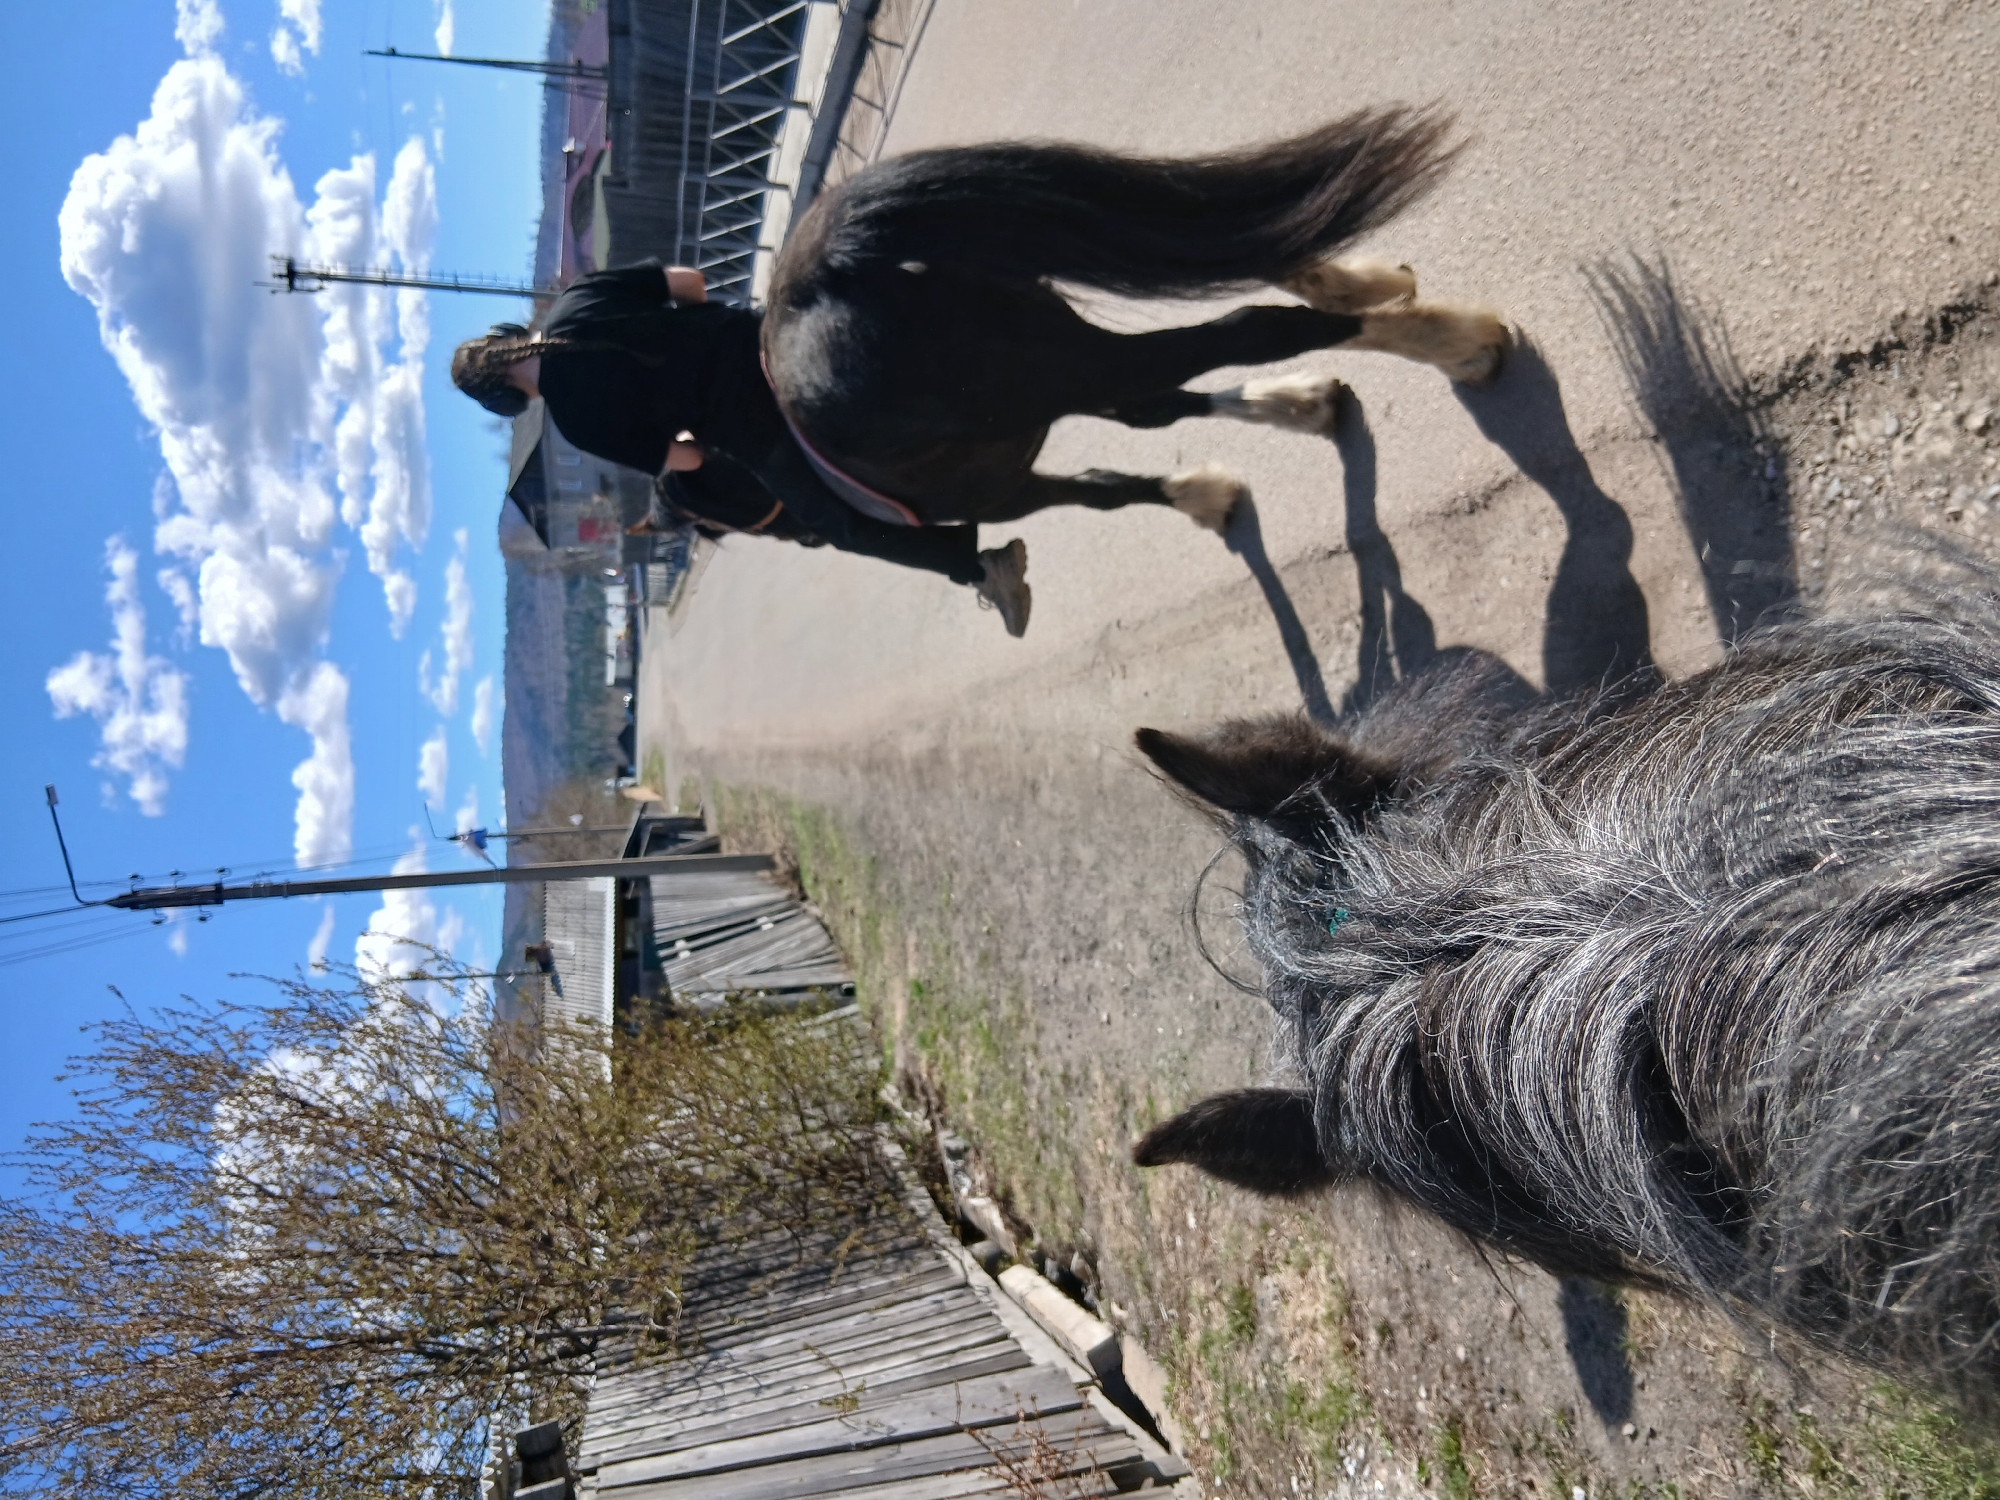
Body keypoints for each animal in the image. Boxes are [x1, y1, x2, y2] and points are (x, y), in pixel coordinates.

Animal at [761, 107, 1507, 534]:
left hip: (1058, 361)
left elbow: (1104, 489)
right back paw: (1359, 318)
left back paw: (1453, 342)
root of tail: (807, 282)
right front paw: (1218, 481)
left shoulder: (1007, 489)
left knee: (1249, 325)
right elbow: (1147, 428)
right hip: (1052, 334)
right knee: (1229, 263)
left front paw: (1199, 496)